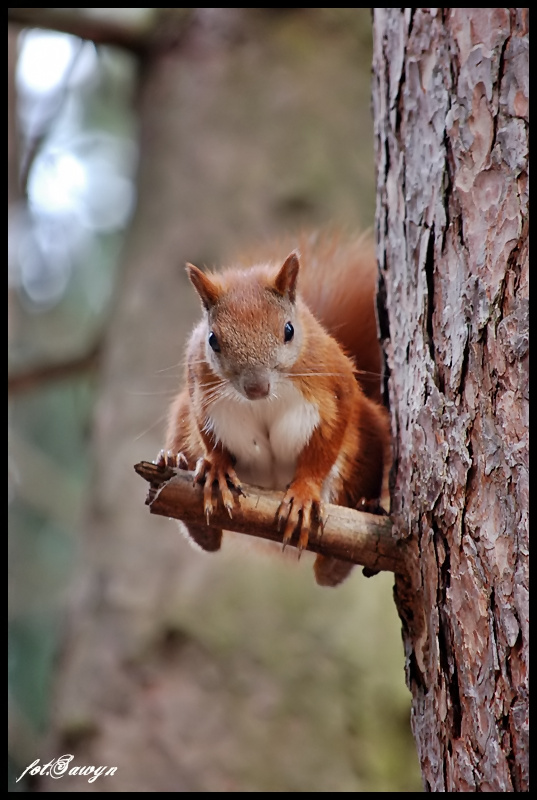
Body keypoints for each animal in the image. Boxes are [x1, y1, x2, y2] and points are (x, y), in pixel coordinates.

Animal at [159, 228, 390, 584]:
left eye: (288, 330)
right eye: (213, 340)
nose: (257, 388)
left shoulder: (335, 385)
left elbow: (326, 442)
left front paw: (304, 492)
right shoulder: (198, 389)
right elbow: (210, 438)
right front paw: (216, 467)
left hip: (367, 437)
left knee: (329, 572)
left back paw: (358, 520)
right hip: (180, 415)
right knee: (207, 539)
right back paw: (176, 462)